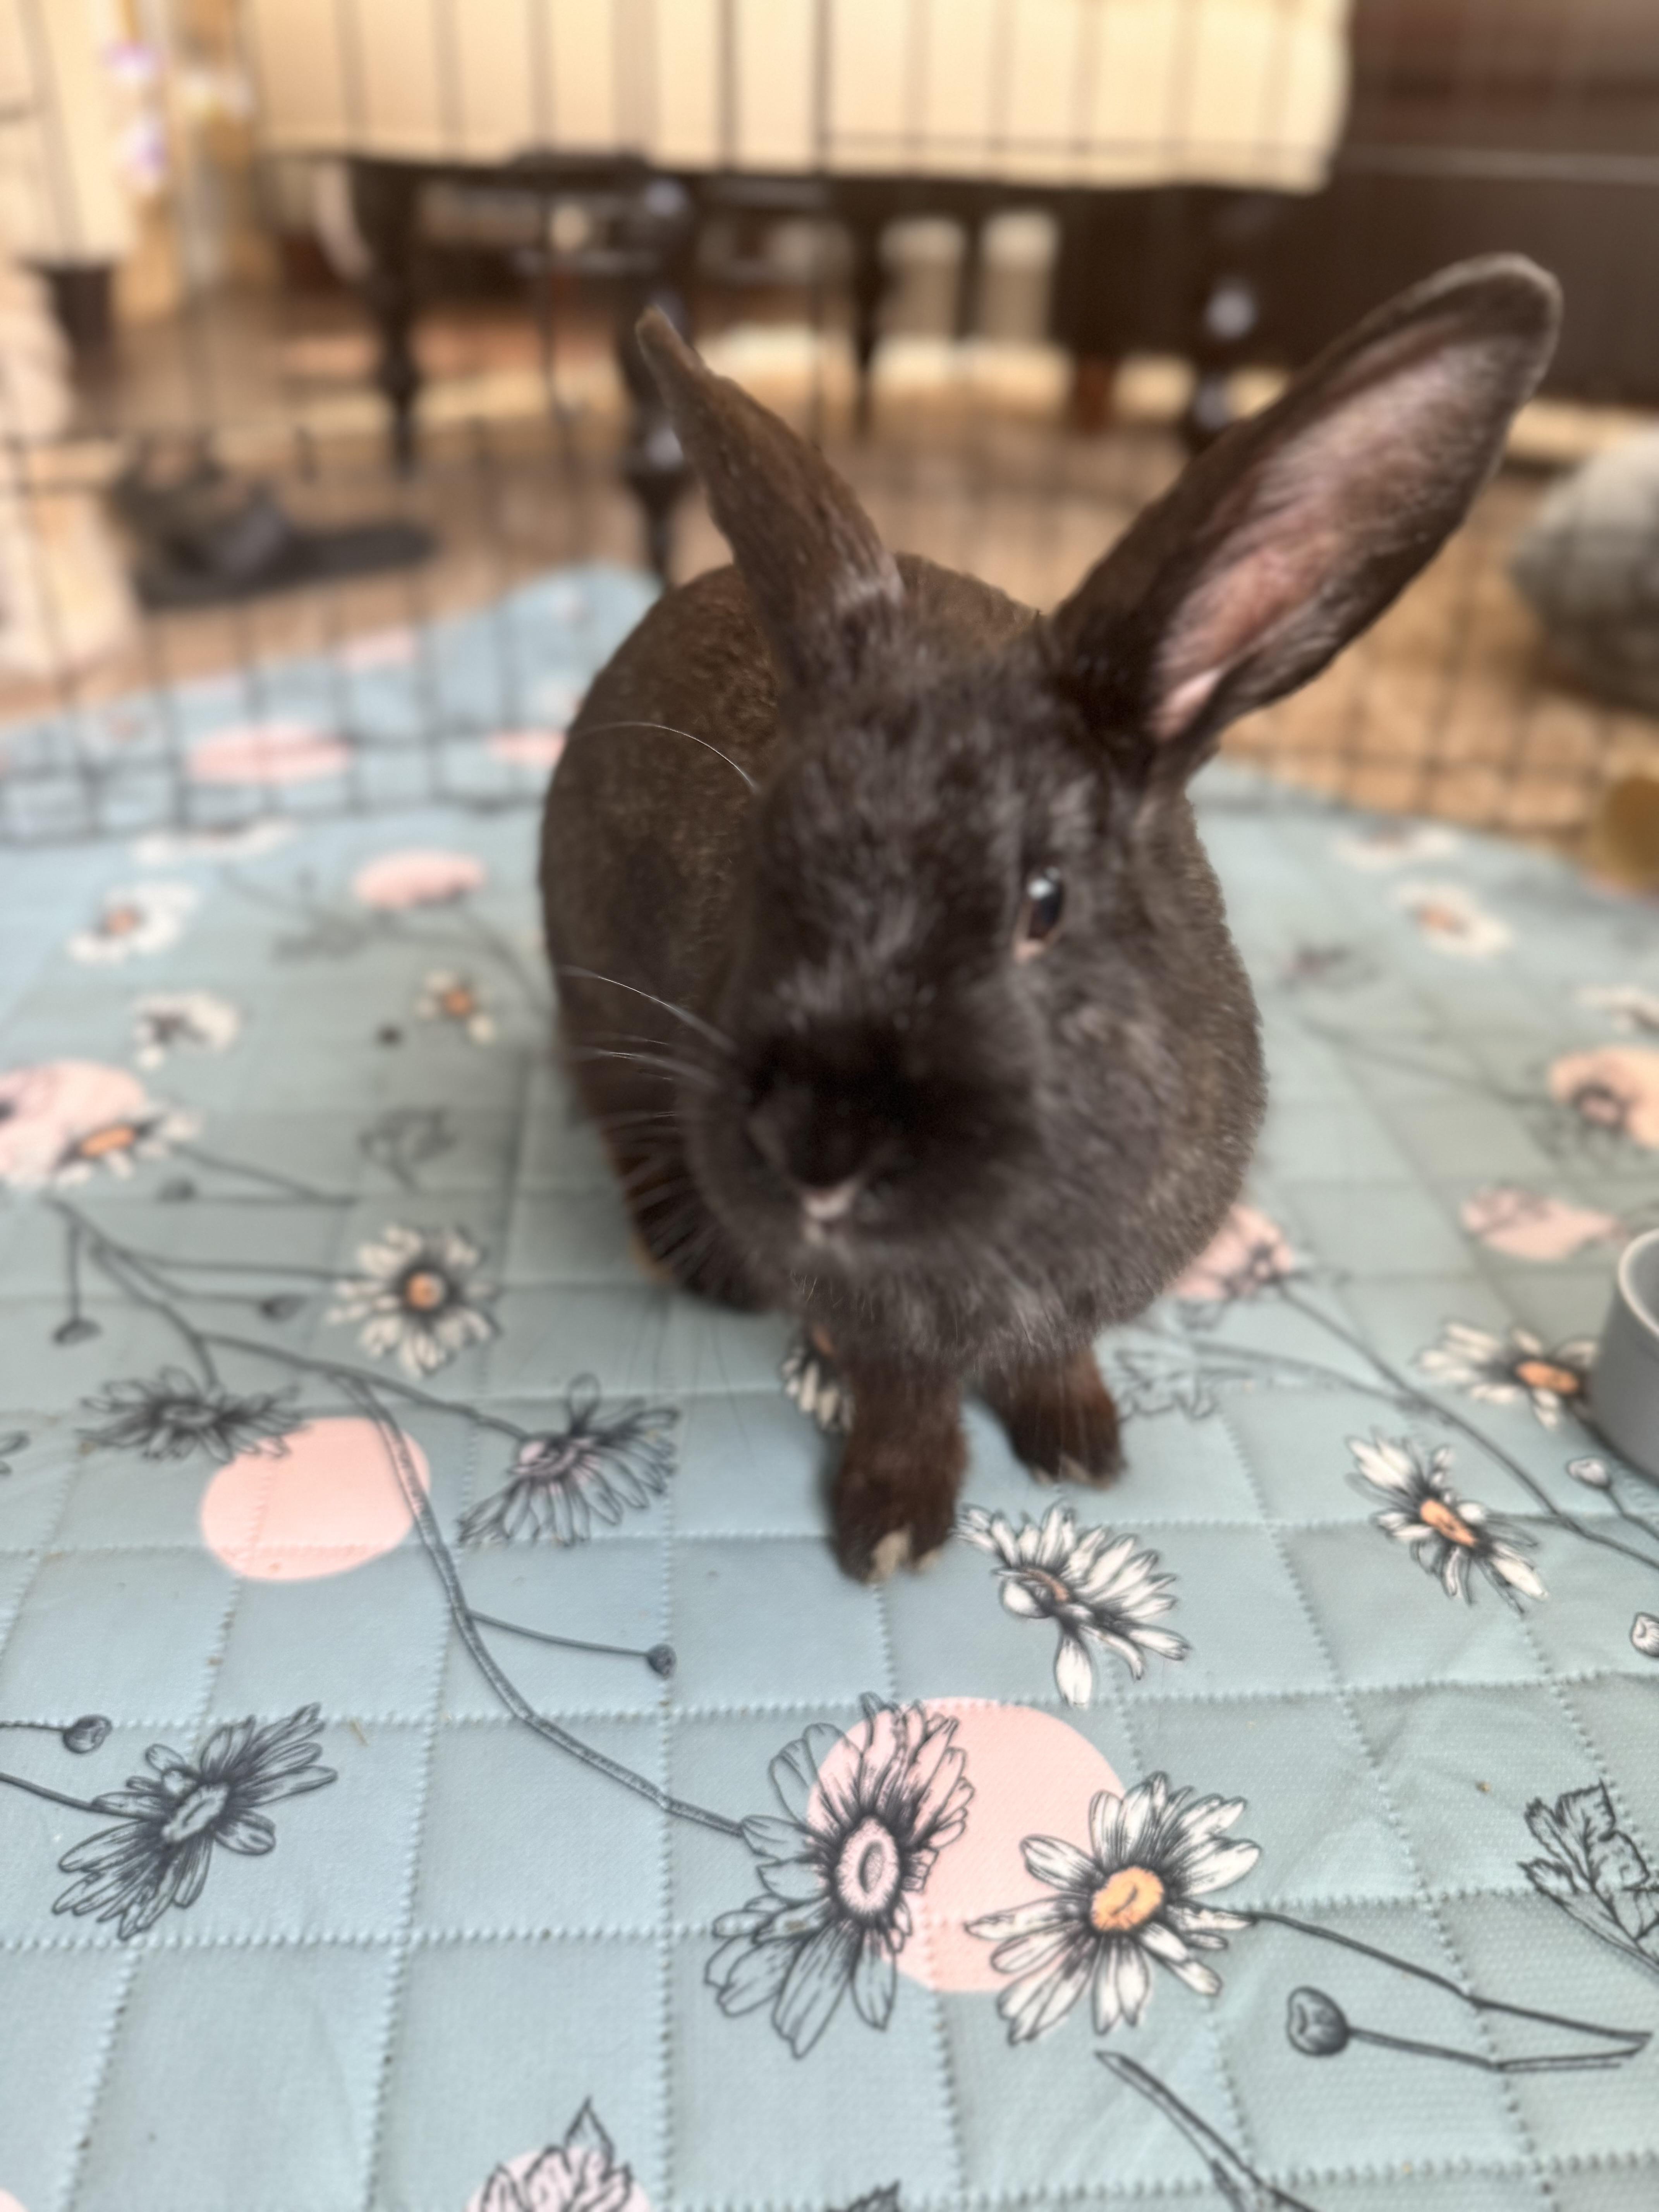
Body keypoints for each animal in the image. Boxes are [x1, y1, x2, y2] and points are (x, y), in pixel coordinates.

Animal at [541, 255, 1560, 1581]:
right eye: (767, 853)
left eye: (1045, 901)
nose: (816, 1150)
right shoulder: (885, 1327)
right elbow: (907, 1395)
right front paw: (892, 1526)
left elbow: (1052, 1355)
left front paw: (1081, 1447)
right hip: (600, 1006)